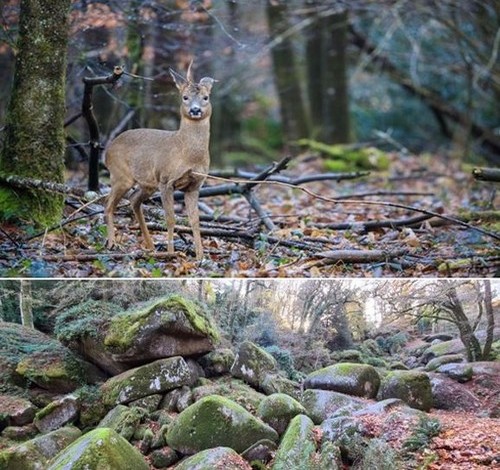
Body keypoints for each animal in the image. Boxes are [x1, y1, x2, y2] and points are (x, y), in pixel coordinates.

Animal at [104, 60, 216, 258]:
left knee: (133, 199)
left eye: (205, 97)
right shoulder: (166, 180)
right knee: (108, 205)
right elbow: (170, 219)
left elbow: (195, 221)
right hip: (121, 175)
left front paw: (200, 256)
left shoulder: (194, 185)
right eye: (185, 97)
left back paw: (150, 246)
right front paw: (172, 253)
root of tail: (108, 150)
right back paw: (112, 244)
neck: (187, 154)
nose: (195, 110)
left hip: (147, 183)